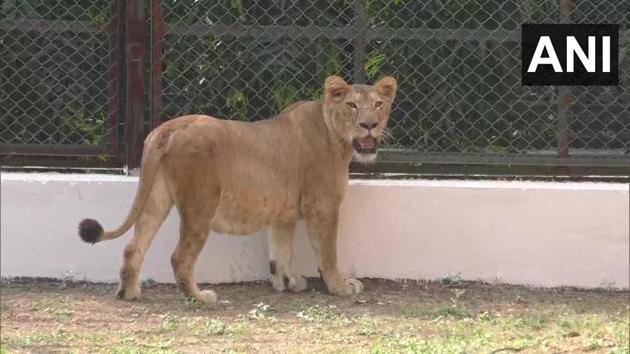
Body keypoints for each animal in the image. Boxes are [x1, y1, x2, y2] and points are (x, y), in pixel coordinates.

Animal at [76, 76, 398, 302]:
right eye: (352, 106)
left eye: (378, 105)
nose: (369, 125)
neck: (337, 138)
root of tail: (168, 128)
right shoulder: (323, 206)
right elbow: (328, 252)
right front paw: (340, 286)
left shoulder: (282, 214)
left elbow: (281, 251)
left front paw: (288, 282)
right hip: (201, 203)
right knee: (180, 256)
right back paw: (199, 297)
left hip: (156, 197)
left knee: (134, 246)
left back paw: (129, 293)